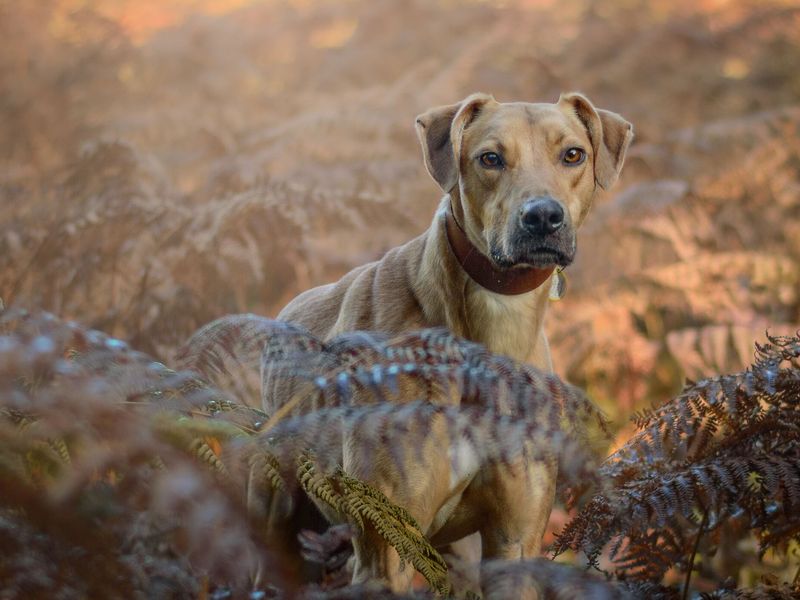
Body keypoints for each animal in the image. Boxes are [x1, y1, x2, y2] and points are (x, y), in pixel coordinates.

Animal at [272, 94, 636, 592]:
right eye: (490, 158)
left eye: (573, 155)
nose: (543, 216)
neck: (493, 324)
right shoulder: (386, 551)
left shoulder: (515, 543)